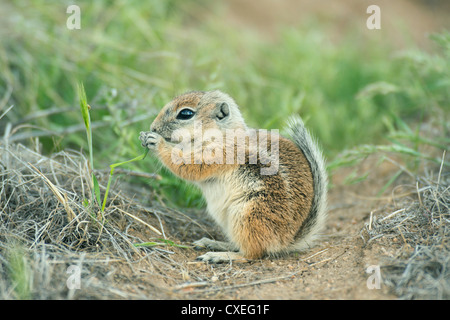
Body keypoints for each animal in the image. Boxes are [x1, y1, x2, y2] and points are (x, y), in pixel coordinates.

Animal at [141, 90, 326, 262]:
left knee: (252, 254)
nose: (153, 127)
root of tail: (286, 240)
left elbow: (187, 165)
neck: (221, 134)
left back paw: (219, 255)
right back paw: (213, 243)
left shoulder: (218, 154)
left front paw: (156, 141)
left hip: (247, 214)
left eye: (185, 113)